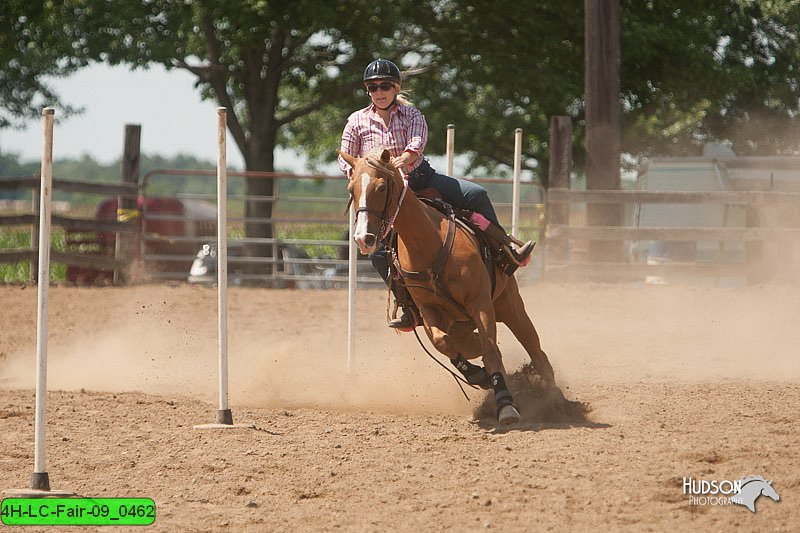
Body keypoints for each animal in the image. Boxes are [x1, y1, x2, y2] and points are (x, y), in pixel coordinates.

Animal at [342, 147, 556, 424]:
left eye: (380, 187)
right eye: (351, 189)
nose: (363, 238)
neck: (428, 243)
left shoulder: (480, 303)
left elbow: (491, 351)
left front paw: (505, 403)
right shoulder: (428, 311)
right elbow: (443, 343)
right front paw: (478, 375)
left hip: (510, 306)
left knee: (536, 351)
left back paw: (555, 399)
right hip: (464, 321)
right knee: (467, 342)